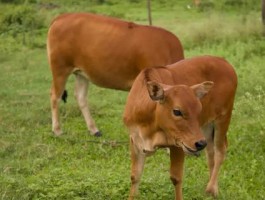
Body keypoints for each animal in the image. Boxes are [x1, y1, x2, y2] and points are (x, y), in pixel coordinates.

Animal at [46, 12, 183, 136]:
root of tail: (62, 16)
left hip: (81, 73)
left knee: (80, 97)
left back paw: (94, 130)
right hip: (60, 68)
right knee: (55, 96)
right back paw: (57, 130)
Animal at [122, 55, 236, 200]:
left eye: (199, 109)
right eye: (177, 111)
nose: (199, 143)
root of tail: (223, 61)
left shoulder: (178, 144)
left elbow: (176, 178)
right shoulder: (135, 140)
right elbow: (135, 176)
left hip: (223, 117)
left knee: (220, 150)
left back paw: (212, 188)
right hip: (206, 127)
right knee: (210, 151)